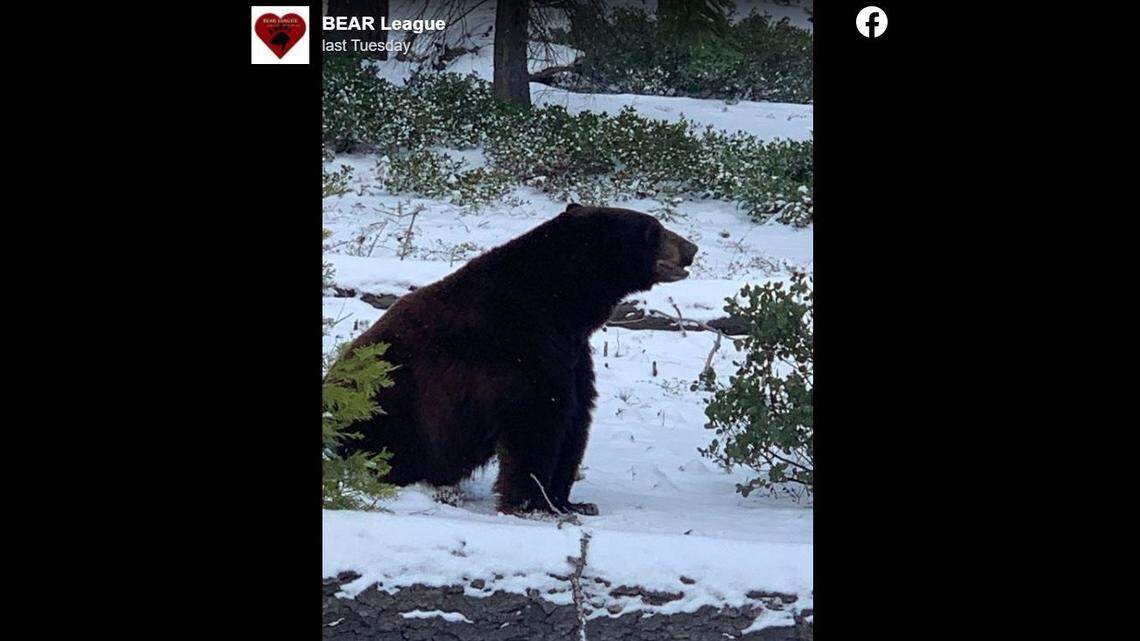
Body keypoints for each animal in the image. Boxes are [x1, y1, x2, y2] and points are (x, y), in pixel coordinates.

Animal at [336, 204, 698, 515]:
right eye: (654, 230)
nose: (691, 248)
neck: (560, 302)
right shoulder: (516, 347)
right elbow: (537, 418)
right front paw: (532, 502)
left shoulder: (572, 353)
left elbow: (576, 416)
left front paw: (570, 502)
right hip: (389, 410)